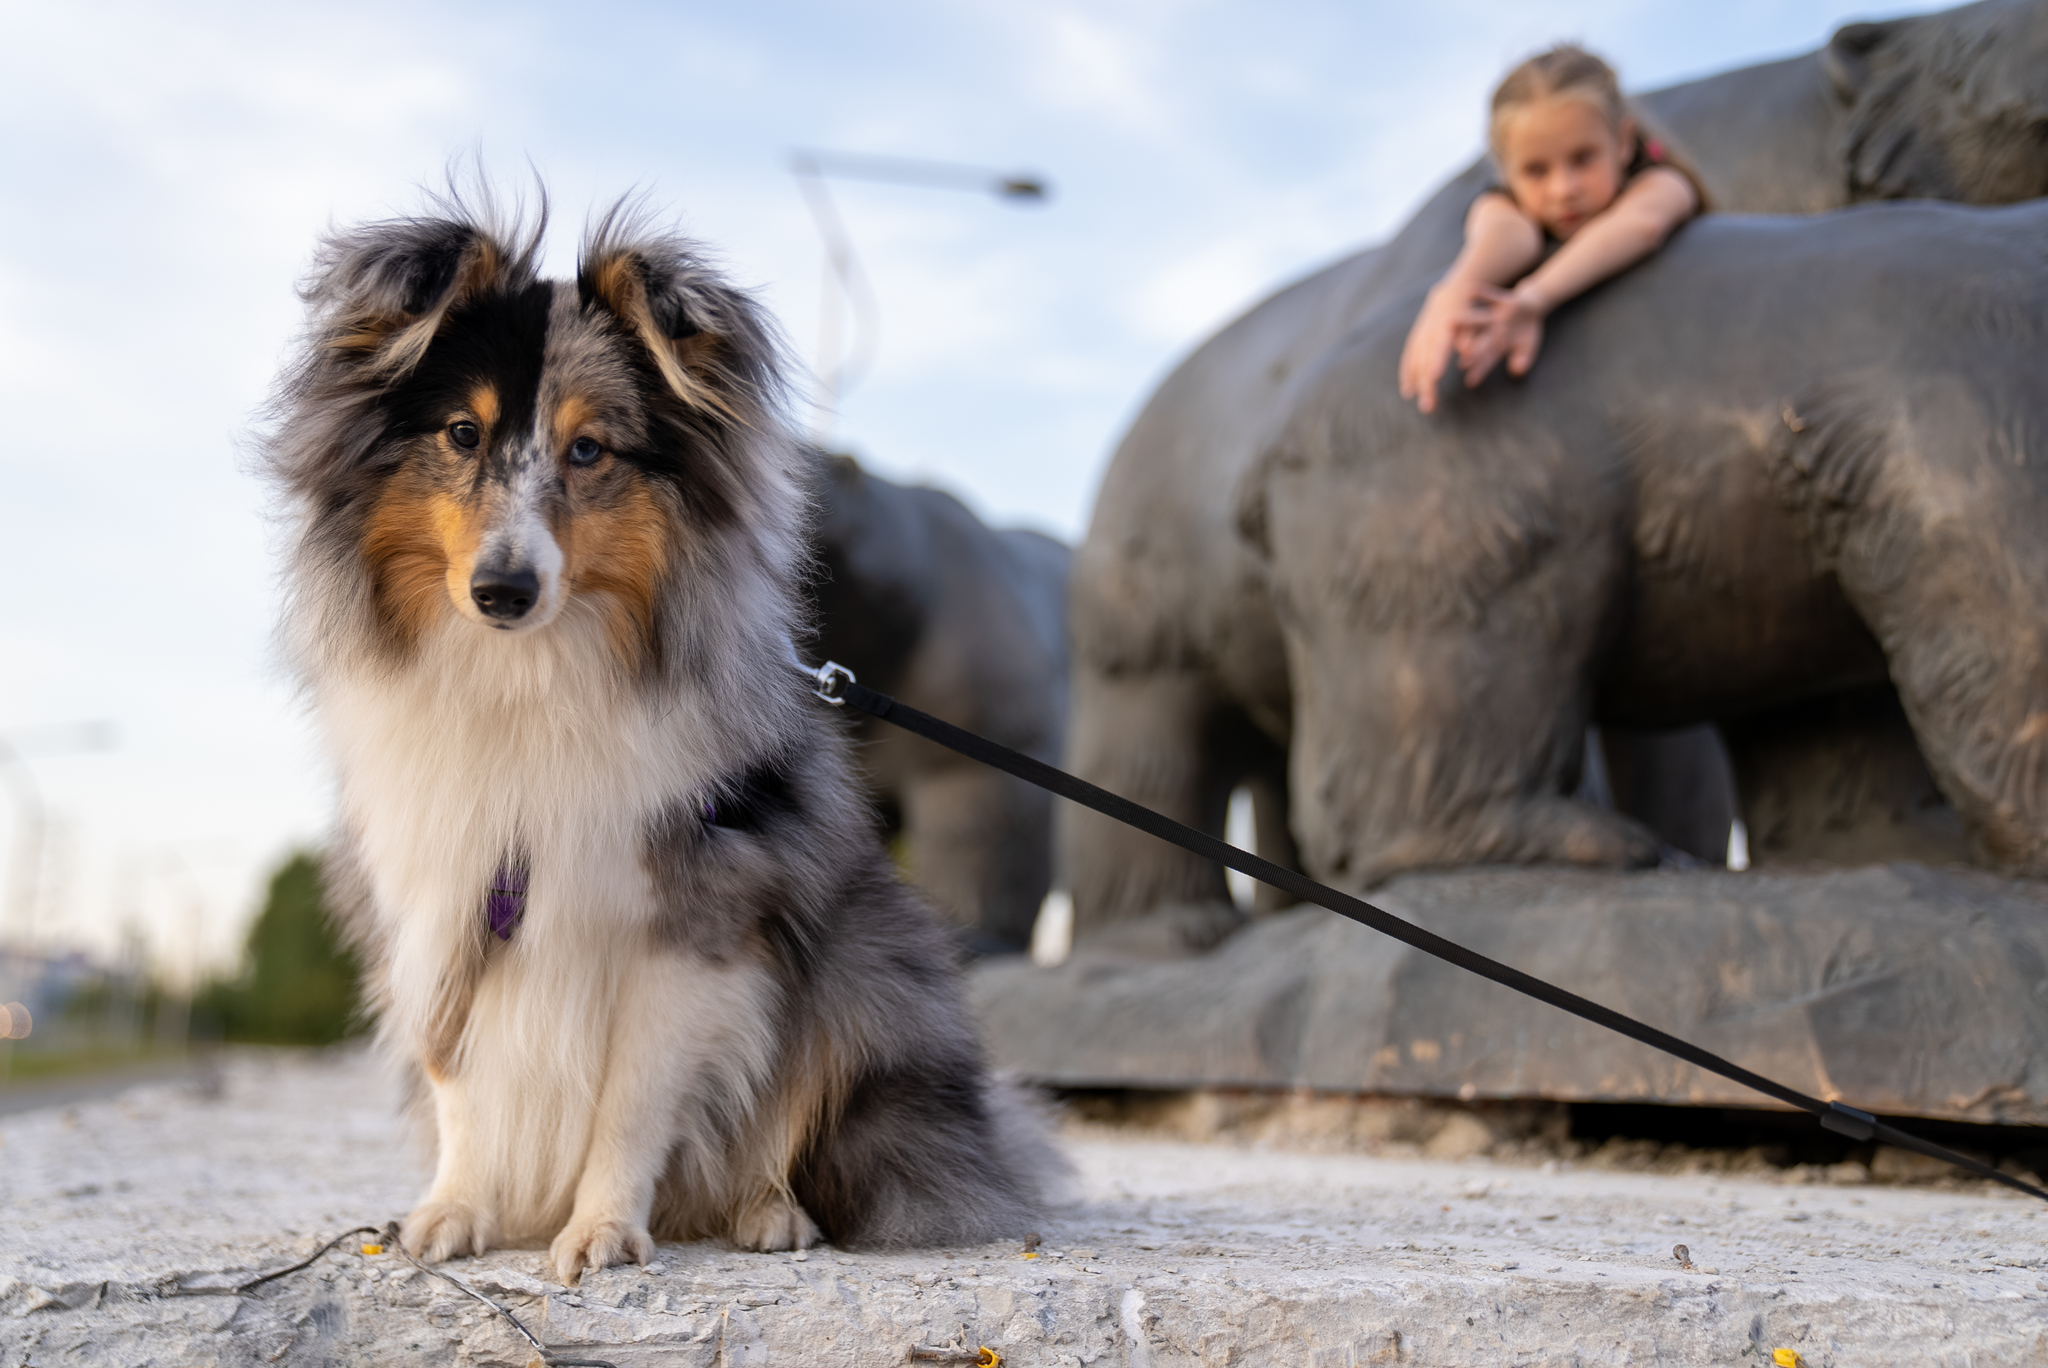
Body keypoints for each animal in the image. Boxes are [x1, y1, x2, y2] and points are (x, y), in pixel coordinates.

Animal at [262, 197, 1056, 1286]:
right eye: (462, 433)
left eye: (590, 450)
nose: (502, 591)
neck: (527, 680)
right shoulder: (445, 889)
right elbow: (456, 1071)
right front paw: (455, 1209)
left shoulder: (694, 923)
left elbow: (632, 1101)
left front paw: (600, 1230)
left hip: (862, 973)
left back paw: (770, 1212)